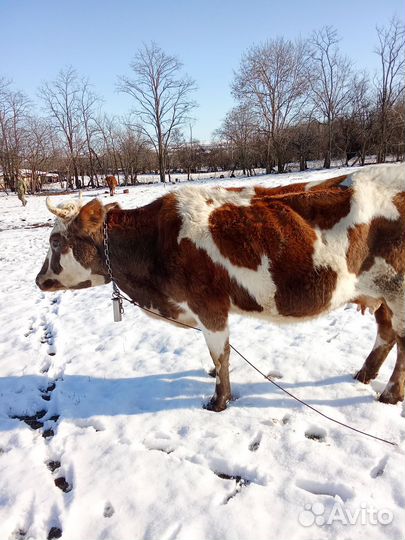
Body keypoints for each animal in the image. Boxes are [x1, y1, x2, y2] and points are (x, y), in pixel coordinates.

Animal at [35, 165, 404, 410]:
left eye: (55, 240)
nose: (39, 280)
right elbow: (219, 355)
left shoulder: (209, 306)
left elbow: (221, 353)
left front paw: (219, 400)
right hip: (382, 294)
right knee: (385, 333)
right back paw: (364, 375)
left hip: (397, 292)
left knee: (399, 339)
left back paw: (389, 394)